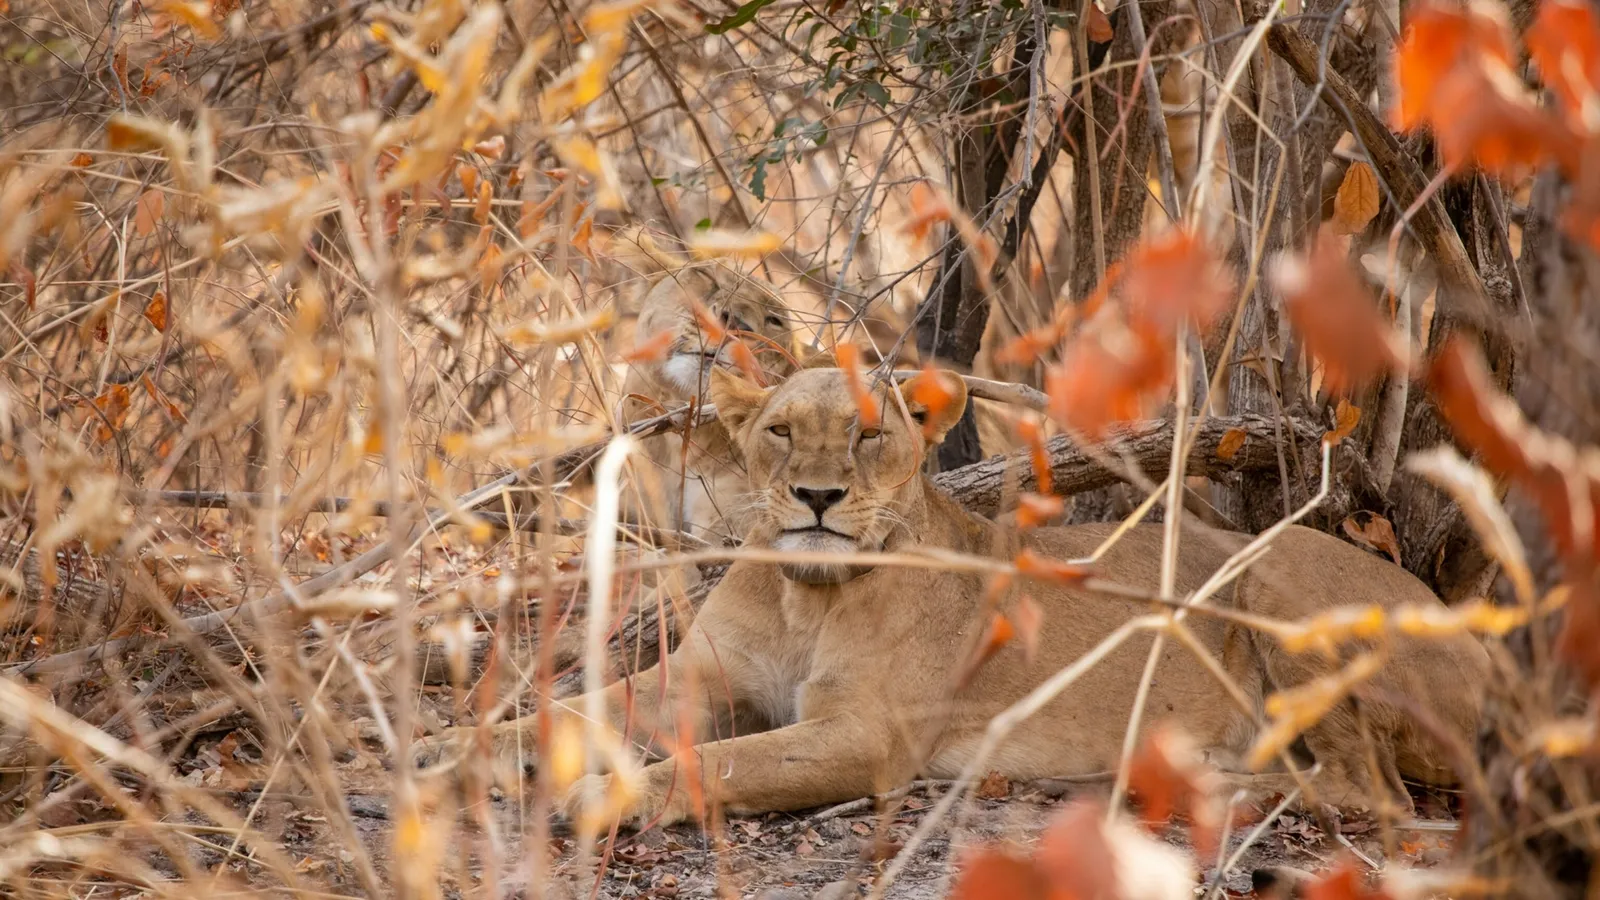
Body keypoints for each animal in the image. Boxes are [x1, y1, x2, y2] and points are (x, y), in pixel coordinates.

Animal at [422, 367, 1490, 829]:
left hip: (1265, 572)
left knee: (1366, 792)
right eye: (780, 431)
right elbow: (568, 711)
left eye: (867, 433)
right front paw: (447, 753)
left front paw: (601, 796)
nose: (818, 497)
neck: (806, 595)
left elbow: (724, 764)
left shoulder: (865, 737)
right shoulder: (699, 679)